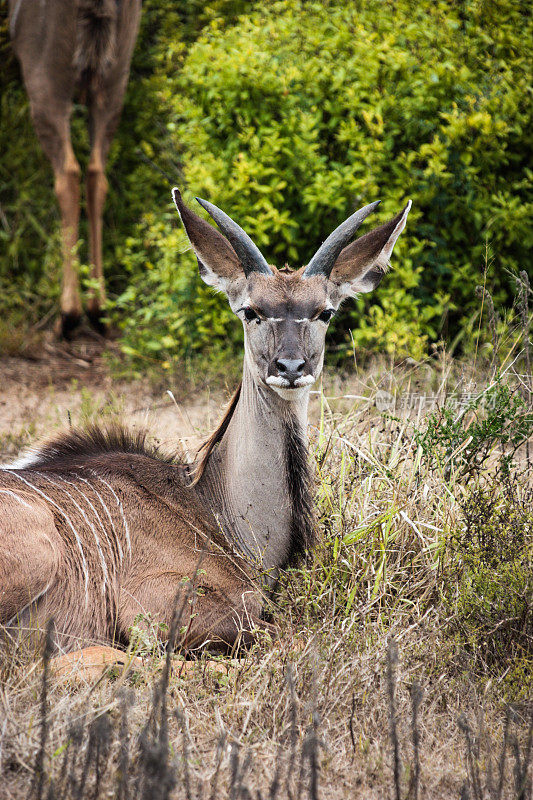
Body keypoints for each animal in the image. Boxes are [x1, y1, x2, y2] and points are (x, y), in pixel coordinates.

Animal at [0, 189, 412, 664]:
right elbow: (282, 635)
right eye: (251, 311)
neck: (212, 508)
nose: (290, 367)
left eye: (325, 313)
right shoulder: (156, 606)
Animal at [8, 0, 141, 334]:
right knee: (97, 172)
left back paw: (68, 315)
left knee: (68, 171)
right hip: (116, 73)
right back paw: (99, 309)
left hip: (46, 68)